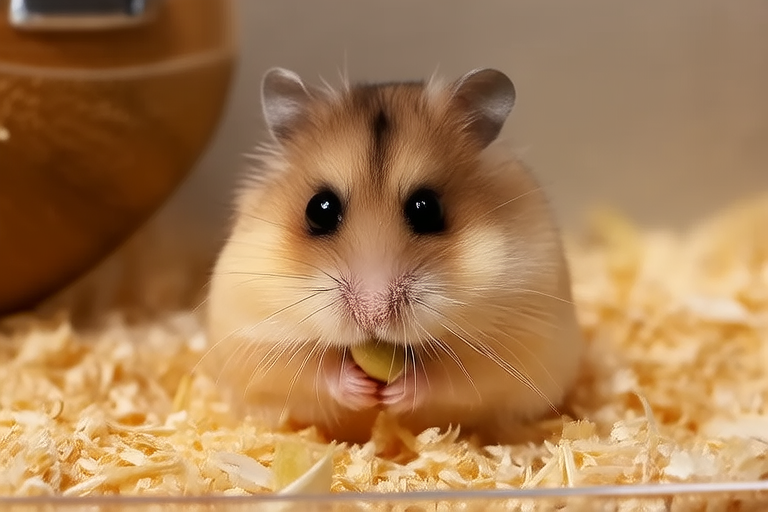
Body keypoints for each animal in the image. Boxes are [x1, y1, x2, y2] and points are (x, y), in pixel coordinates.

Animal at [204, 67, 584, 444]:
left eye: (426, 208)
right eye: (319, 209)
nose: (372, 316)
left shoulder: (511, 339)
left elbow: (457, 376)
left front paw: (396, 394)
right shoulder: (252, 335)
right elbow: (307, 369)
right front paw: (361, 390)